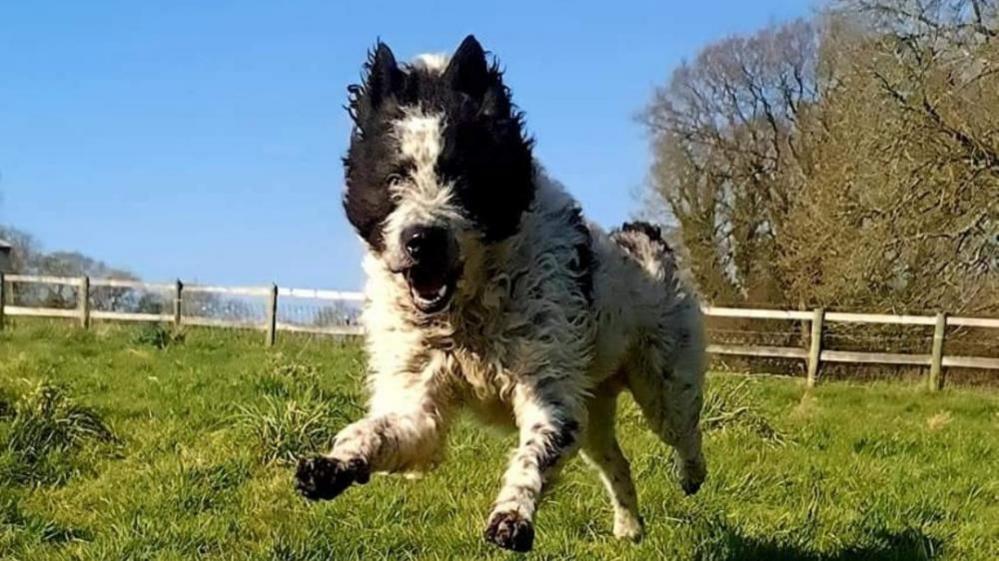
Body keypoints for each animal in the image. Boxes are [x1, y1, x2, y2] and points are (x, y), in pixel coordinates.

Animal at [292, 34, 708, 552]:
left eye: (463, 177)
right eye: (394, 176)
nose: (422, 238)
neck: (465, 316)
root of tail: (645, 237)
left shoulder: (549, 393)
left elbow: (534, 453)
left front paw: (513, 515)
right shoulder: (418, 405)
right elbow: (374, 432)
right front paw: (331, 466)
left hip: (663, 384)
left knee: (684, 431)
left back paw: (691, 474)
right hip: (594, 410)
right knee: (617, 462)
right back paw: (629, 527)